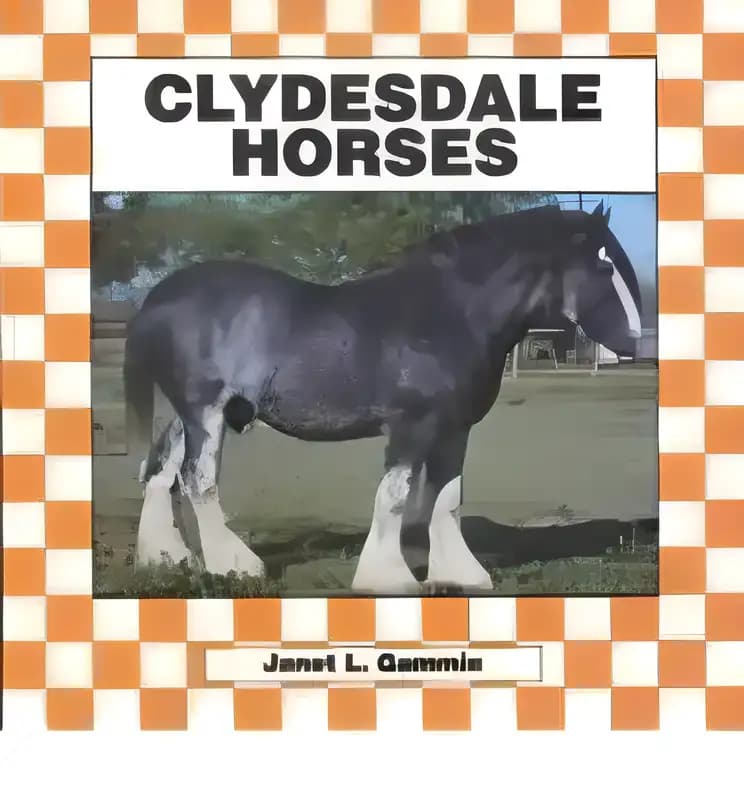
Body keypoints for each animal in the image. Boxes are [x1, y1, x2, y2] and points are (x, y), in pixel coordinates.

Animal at [123, 200, 643, 590]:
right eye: (605, 266)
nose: (635, 342)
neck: (450, 312)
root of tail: (158, 299)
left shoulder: (454, 428)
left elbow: (446, 497)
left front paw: (460, 574)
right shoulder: (410, 425)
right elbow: (395, 495)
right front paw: (388, 577)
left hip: (182, 413)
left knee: (159, 472)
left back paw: (167, 558)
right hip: (204, 411)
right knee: (196, 478)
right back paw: (236, 565)